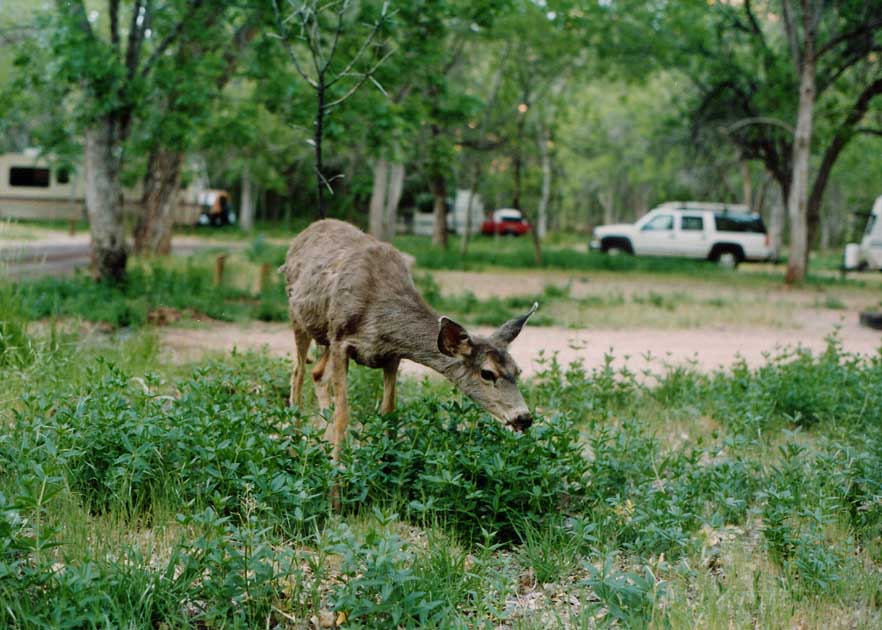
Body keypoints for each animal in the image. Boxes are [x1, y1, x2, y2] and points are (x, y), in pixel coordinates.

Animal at [280, 221, 536, 460]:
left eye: (518, 370)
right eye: (487, 373)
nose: (524, 417)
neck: (379, 315)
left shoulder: (391, 355)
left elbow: (389, 412)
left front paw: (388, 461)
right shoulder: (341, 340)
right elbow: (343, 412)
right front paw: (337, 468)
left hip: (325, 337)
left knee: (318, 374)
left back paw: (321, 442)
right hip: (299, 318)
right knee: (298, 374)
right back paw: (295, 446)